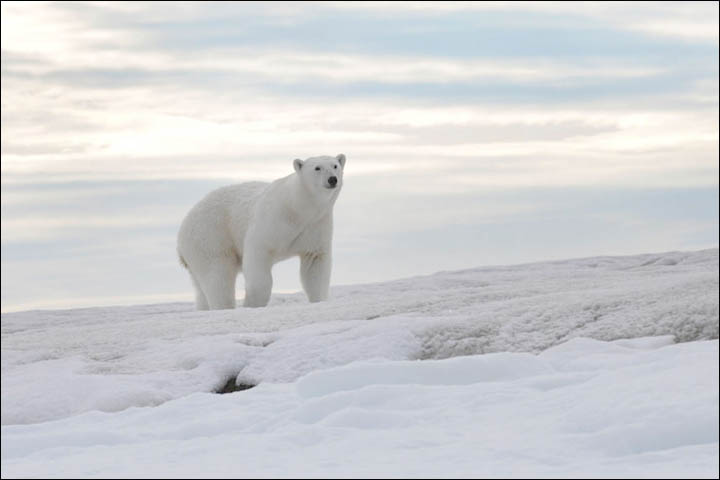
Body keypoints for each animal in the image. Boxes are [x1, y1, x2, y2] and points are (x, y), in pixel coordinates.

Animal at [177, 156, 346, 310]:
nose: (332, 179)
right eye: (317, 168)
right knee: (218, 275)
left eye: (335, 165)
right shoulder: (272, 220)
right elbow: (257, 255)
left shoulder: (316, 225)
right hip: (210, 236)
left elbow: (315, 265)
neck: (298, 209)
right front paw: (252, 303)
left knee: (201, 287)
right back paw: (224, 306)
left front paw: (319, 300)